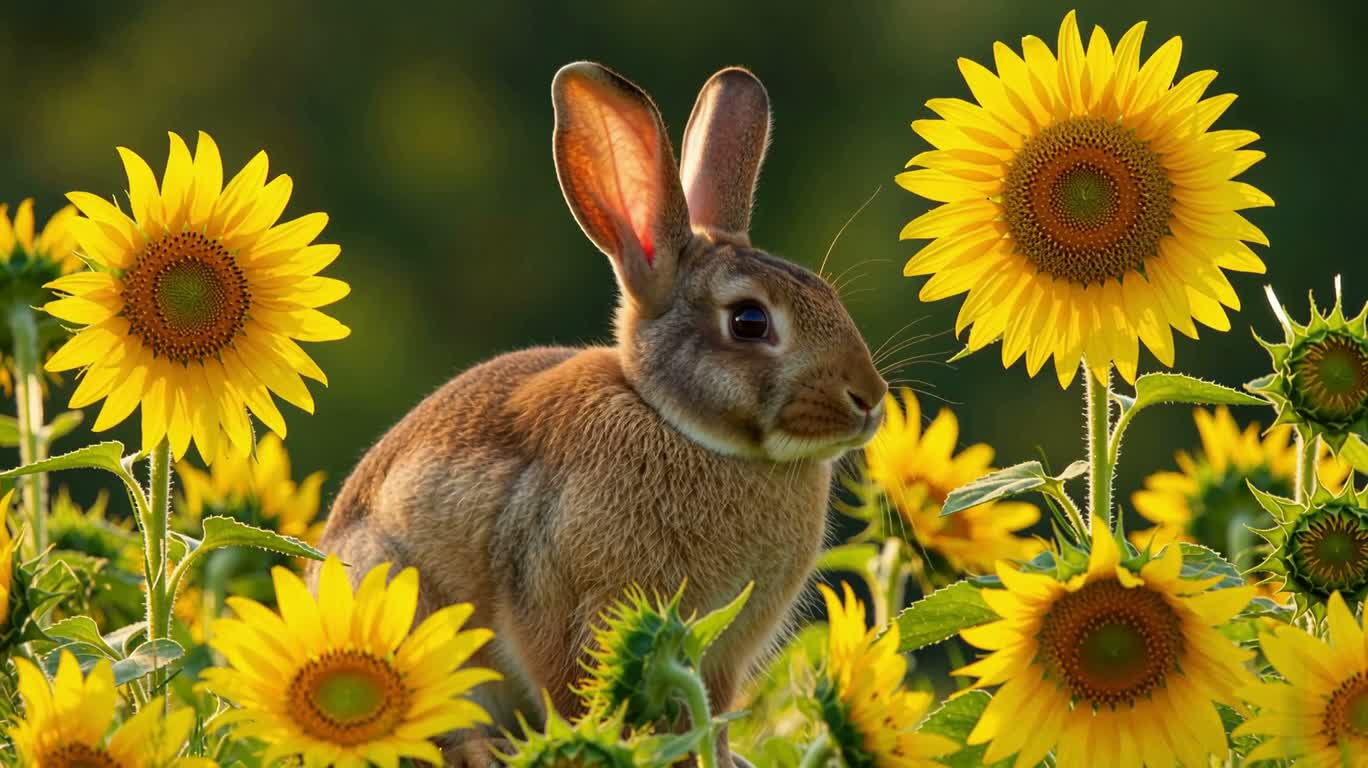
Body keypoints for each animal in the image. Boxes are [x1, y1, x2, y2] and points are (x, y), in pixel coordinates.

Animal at [315, 61, 887, 766]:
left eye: (828, 296)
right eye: (750, 321)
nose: (870, 399)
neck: (678, 424)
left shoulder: (721, 653)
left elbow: (713, 715)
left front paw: (723, 758)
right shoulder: (559, 595)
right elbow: (576, 698)